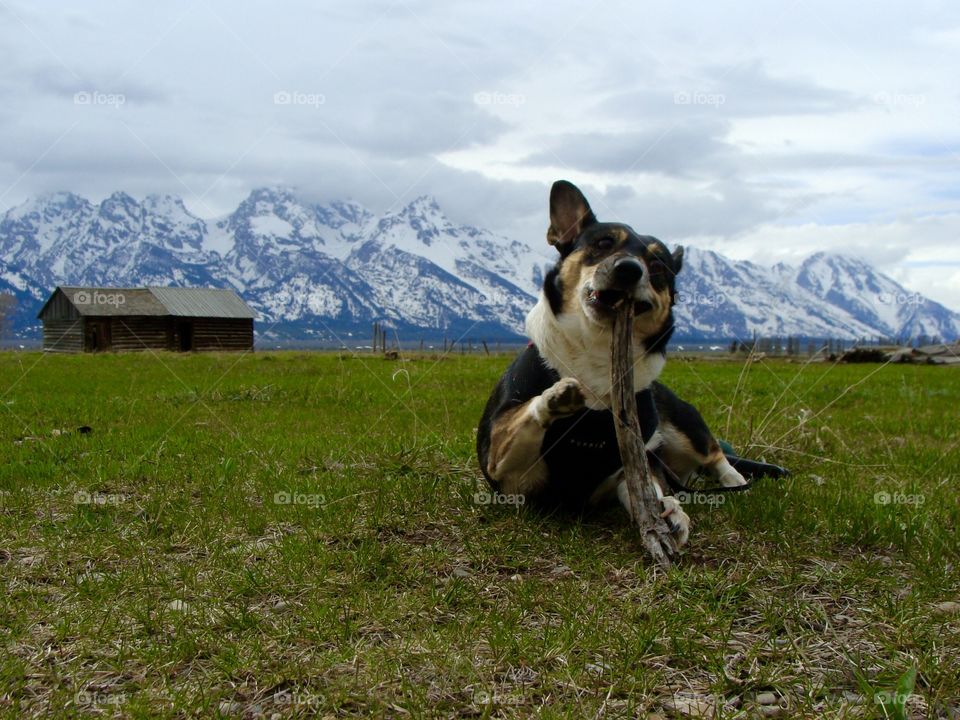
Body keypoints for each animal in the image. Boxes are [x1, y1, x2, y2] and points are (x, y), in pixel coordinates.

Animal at [478, 180, 788, 544]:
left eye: (657, 264)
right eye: (603, 243)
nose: (629, 269)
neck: (599, 351)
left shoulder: (634, 462)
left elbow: (649, 489)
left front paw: (670, 510)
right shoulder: (505, 470)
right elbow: (524, 415)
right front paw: (555, 398)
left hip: (685, 423)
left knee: (715, 454)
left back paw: (734, 480)